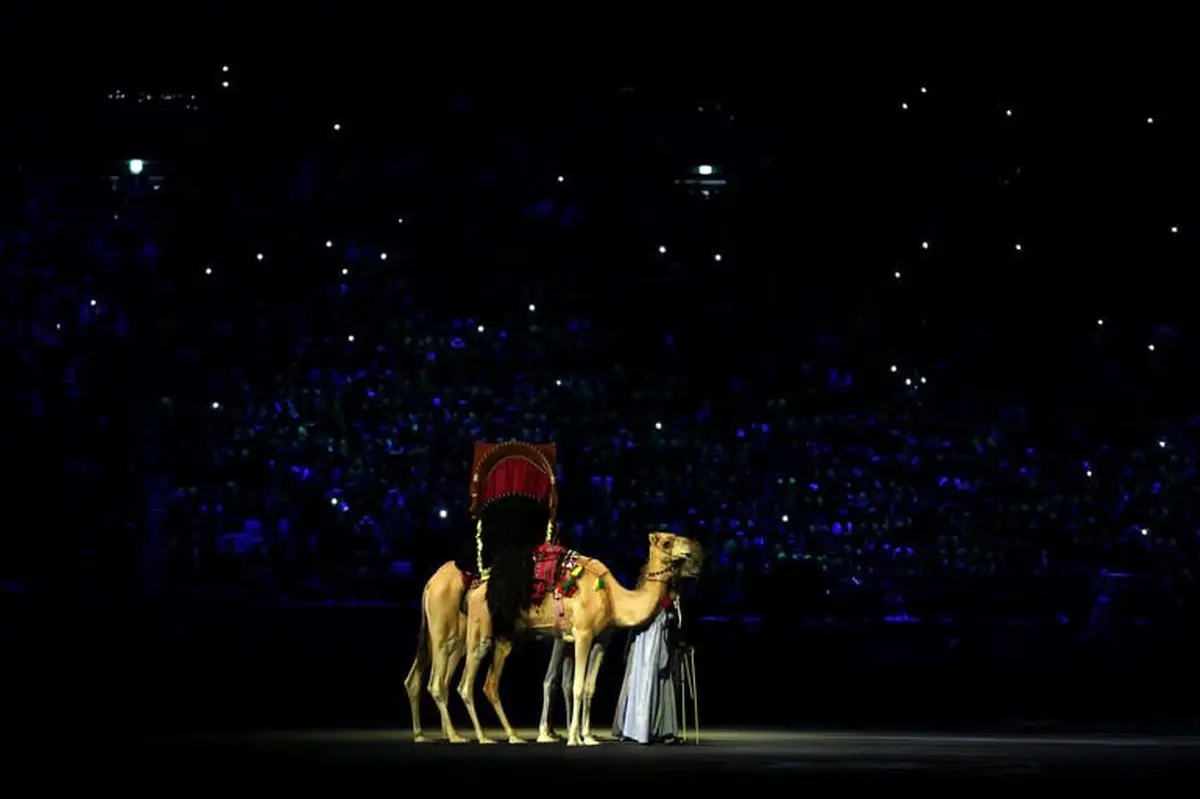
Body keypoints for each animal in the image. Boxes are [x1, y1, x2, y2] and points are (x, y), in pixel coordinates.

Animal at [403, 559, 571, 739]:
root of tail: (430, 584)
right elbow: (555, 680)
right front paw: (549, 733)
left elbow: (558, 679)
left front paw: (554, 732)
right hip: (447, 633)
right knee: (441, 681)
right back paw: (461, 735)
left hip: (451, 638)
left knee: (426, 679)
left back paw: (429, 734)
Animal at [456, 532, 700, 743]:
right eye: (667, 542)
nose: (691, 550)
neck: (612, 598)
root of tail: (476, 589)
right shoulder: (583, 634)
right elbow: (577, 686)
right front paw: (574, 738)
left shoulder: (602, 639)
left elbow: (590, 687)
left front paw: (589, 737)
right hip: (482, 625)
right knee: (466, 682)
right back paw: (483, 737)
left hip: (505, 636)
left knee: (491, 684)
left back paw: (513, 736)